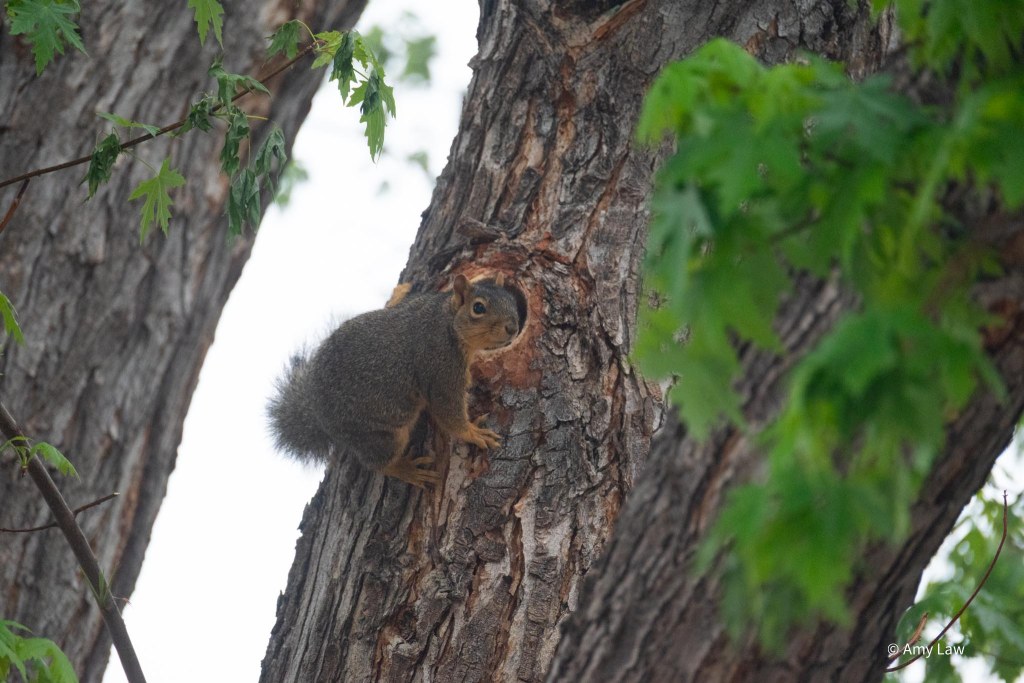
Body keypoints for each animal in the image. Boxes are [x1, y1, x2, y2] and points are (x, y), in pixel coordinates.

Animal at [267, 273, 520, 487]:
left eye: (512, 300)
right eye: (478, 307)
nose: (512, 328)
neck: (447, 321)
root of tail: (317, 414)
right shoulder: (441, 371)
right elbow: (449, 414)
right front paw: (473, 433)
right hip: (380, 436)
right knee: (378, 463)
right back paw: (407, 470)